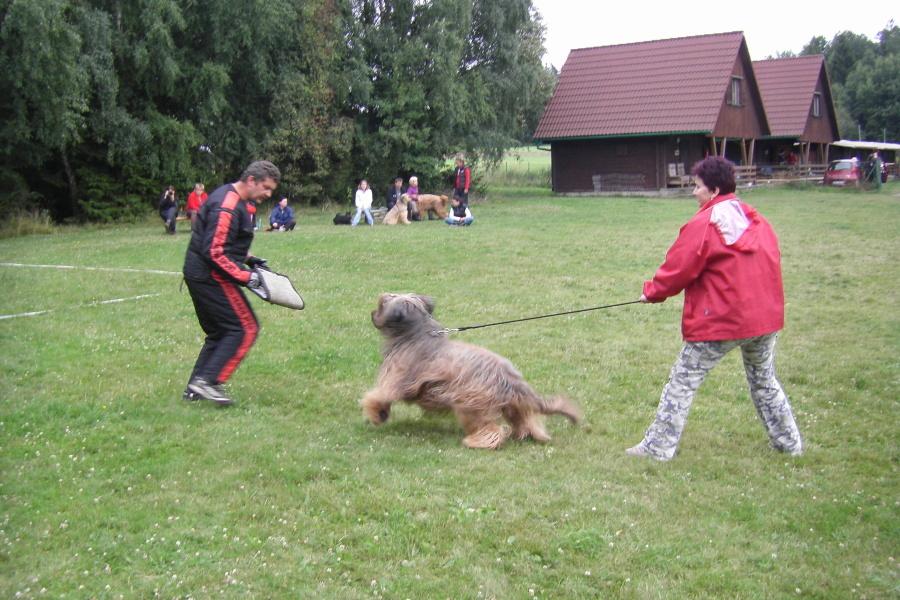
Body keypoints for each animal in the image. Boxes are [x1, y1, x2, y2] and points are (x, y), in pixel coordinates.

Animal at [360, 292, 584, 448]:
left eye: (382, 303)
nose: (372, 312)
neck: (417, 334)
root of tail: (512, 377)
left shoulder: (397, 378)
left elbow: (379, 395)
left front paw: (377, 414)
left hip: (472, 405)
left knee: (493, 431)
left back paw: (476, 442)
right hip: (513, 406)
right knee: (524, 421)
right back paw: (528, 434)